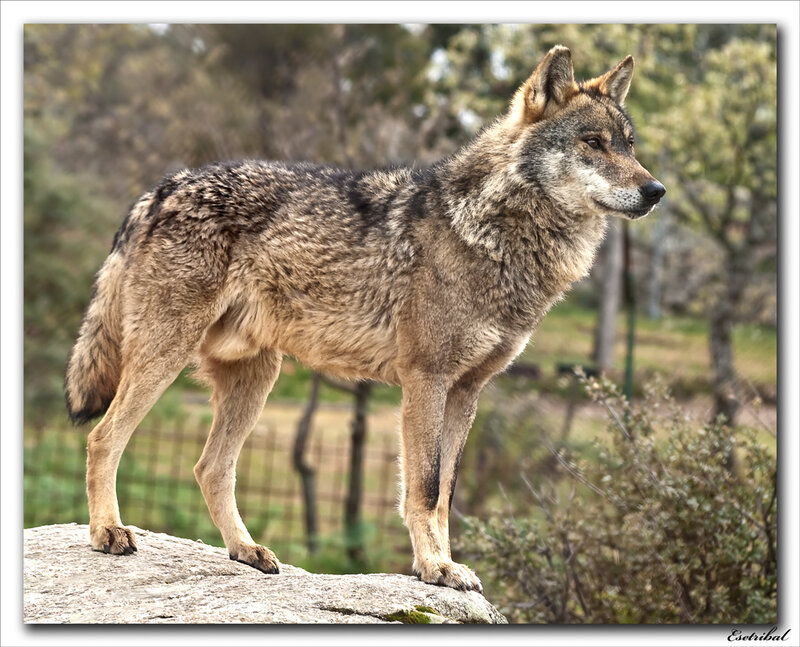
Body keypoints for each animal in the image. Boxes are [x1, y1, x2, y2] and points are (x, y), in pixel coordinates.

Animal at [65, 46, 664, 593]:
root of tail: (161, 188)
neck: (493, 233)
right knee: (102, 439)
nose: (656, 190)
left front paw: (443, 565)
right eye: (593, 143)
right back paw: (108, 531)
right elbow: (424, 488)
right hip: (166, 358)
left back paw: (246, 550)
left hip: (257, 378)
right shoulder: (426, 381)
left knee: (209, 468)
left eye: (630, 145)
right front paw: (435, 568)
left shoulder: (467, 391)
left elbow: (445, 494)